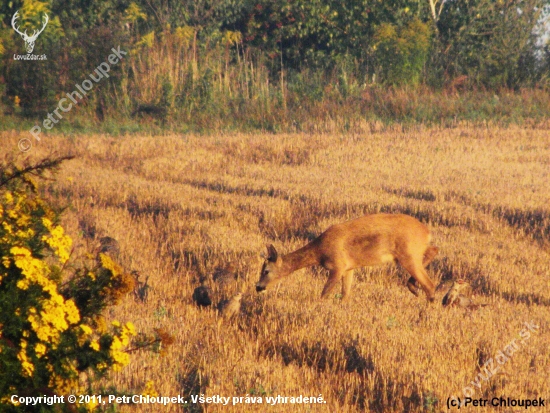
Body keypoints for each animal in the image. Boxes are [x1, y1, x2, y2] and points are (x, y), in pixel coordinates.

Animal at [256, 212, 442, 300]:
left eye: (266, 271)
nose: (258, 287)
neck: (319, 251)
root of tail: (426, 232)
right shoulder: (349, 268)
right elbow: (345, 295)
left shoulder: (338, 265)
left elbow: (325, 293)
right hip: (414, 252)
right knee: (434, 250)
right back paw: (413, 286)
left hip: (408, 254)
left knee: (430, 284)